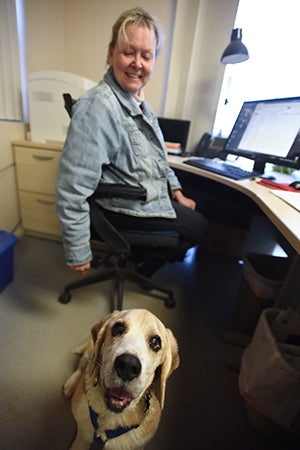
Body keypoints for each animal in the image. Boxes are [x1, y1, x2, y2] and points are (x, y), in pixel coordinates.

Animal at [62, 308, 179, 448]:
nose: (128, 365)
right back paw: (70, 385)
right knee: (81, 366)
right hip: (89, 353)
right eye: (118, 328)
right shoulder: (82, 438)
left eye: (155, 342)